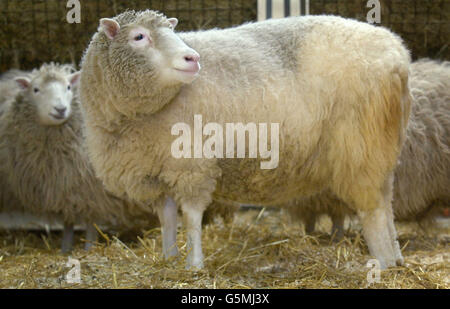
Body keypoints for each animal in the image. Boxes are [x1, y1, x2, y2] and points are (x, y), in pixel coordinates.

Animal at [80, 10, 412, 268]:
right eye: (139, 37)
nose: (193, 58)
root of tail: (398, 54)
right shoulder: (156, 171)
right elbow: (167, 218)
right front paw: (169, 257)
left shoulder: (191, 165)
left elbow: (192, 217)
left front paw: (194, 265)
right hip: (381, 144)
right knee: (386, 202)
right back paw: (396, 257)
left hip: (359, 143)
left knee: (373, 208)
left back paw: (382, 262)